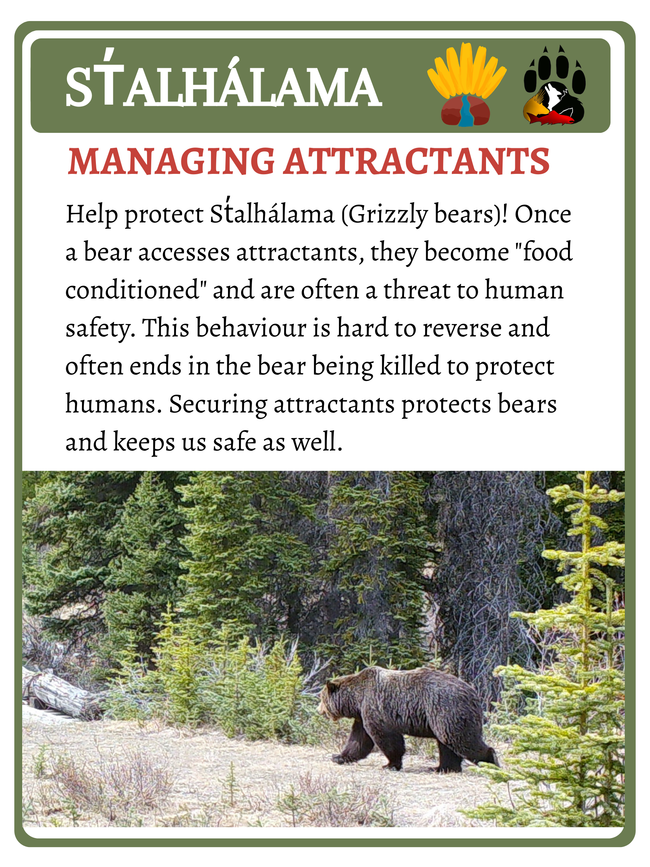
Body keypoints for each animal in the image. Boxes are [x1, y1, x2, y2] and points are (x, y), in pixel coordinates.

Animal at [318, 665, 498, 773]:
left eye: (321, 698)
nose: (318, 710)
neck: (356, 699)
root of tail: (473, 693)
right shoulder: (362, 715)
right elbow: (359, 739)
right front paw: (338, 757)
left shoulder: (374, 707)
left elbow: (386, 738)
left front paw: (390, 764)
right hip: (442, 718)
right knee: (447, 744)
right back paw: (442, 768)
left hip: (447, 710)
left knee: (460, 739)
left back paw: (491, 761)